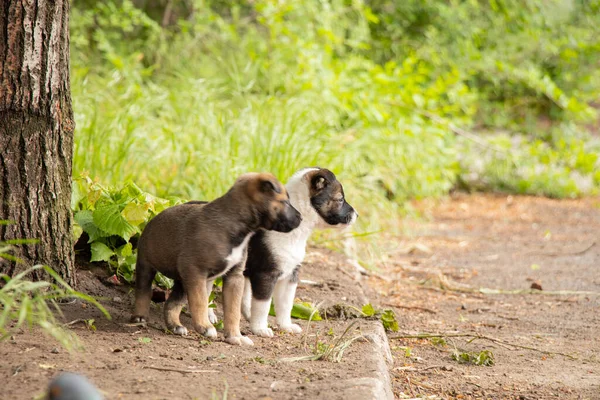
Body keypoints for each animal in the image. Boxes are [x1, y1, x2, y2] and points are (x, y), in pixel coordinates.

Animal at [129, 173, 302, 346]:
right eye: (285, 201)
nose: (300, 218)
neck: (235, 226)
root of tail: (153, 220)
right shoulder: (195, 271)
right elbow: (200, 302)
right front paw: (205, 326)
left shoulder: (234, 277)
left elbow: (233, 312)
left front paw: (235, 336)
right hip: (146, 264)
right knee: (143, 291)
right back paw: (139, 316)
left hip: (183, 281)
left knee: (172, 303)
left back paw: (175, 326)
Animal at [241, 167, 356, 336]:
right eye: (340, 199)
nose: (357, 215)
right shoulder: (266, 274)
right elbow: (263, 305)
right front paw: (260, 329)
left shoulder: (291, 275)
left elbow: (285, 304)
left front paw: (286, 326)